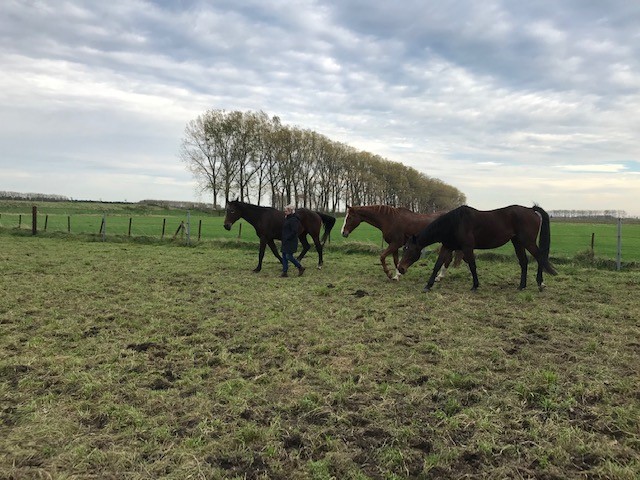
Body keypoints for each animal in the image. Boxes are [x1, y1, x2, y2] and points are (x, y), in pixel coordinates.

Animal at [397, 204, 557, 292]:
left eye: (408, 249)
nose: (400, 268)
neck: (454, 223)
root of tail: (531, 210)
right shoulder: (447, 246)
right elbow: (437, 265)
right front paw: (428, 285)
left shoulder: (467, 247)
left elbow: (473, 265)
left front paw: (475, 286)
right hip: (517, 242)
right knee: (524, 262)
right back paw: (521, 286)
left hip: (527, 241)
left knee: (540, 258)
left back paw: (540, 283)